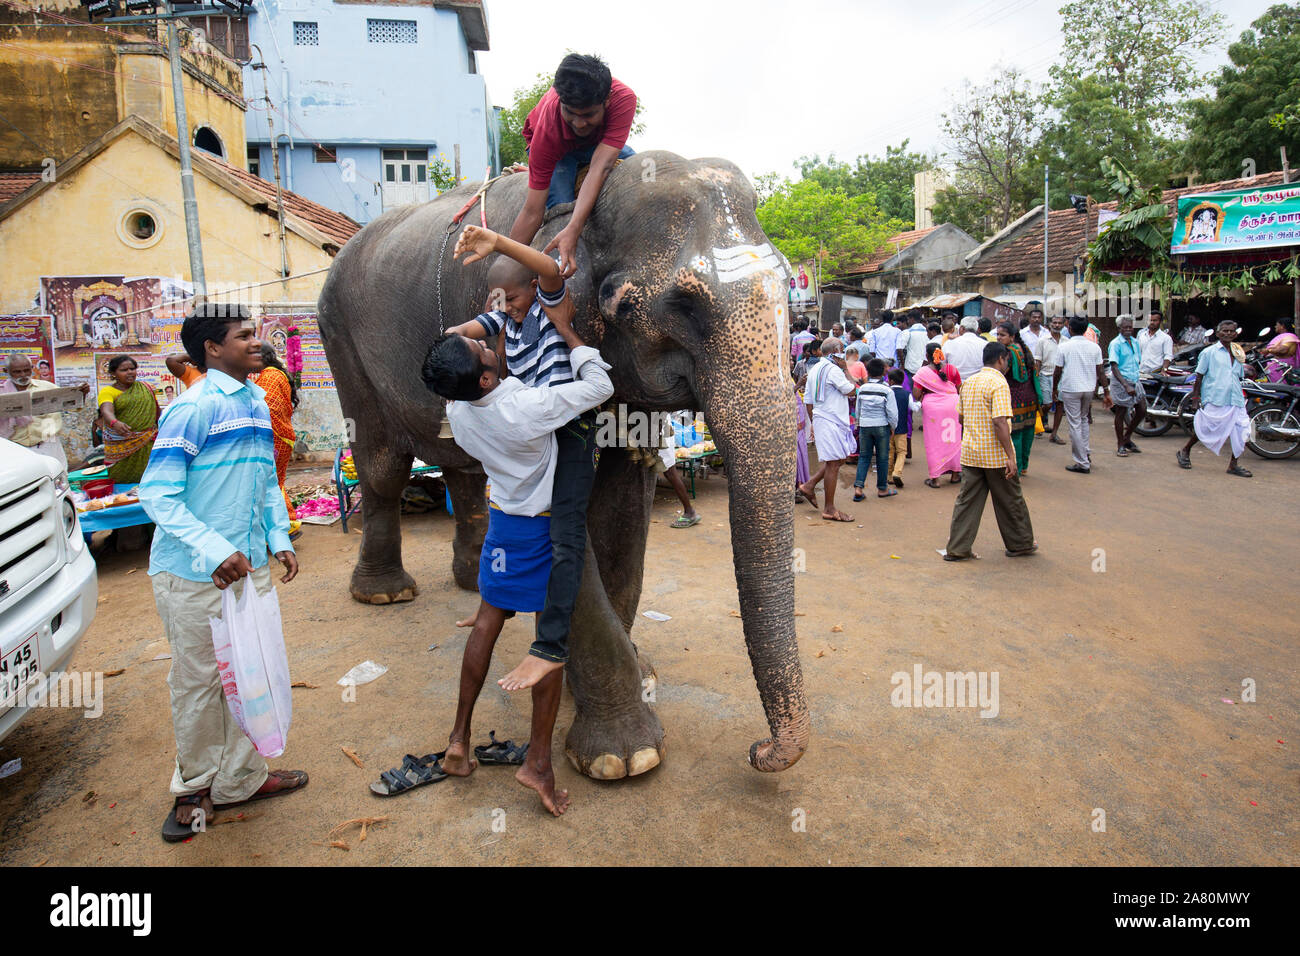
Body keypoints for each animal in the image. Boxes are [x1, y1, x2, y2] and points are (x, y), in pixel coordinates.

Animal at [314, 149, 800, 780]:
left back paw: (473, 582)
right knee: (380, 463)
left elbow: (624, 502)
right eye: (676, 305)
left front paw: (627, 675)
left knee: (462, 466)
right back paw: (384, 595)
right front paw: (625, 757)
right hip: (339, 337)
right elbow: (564, 531)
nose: (760, 751)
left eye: (790, 288)